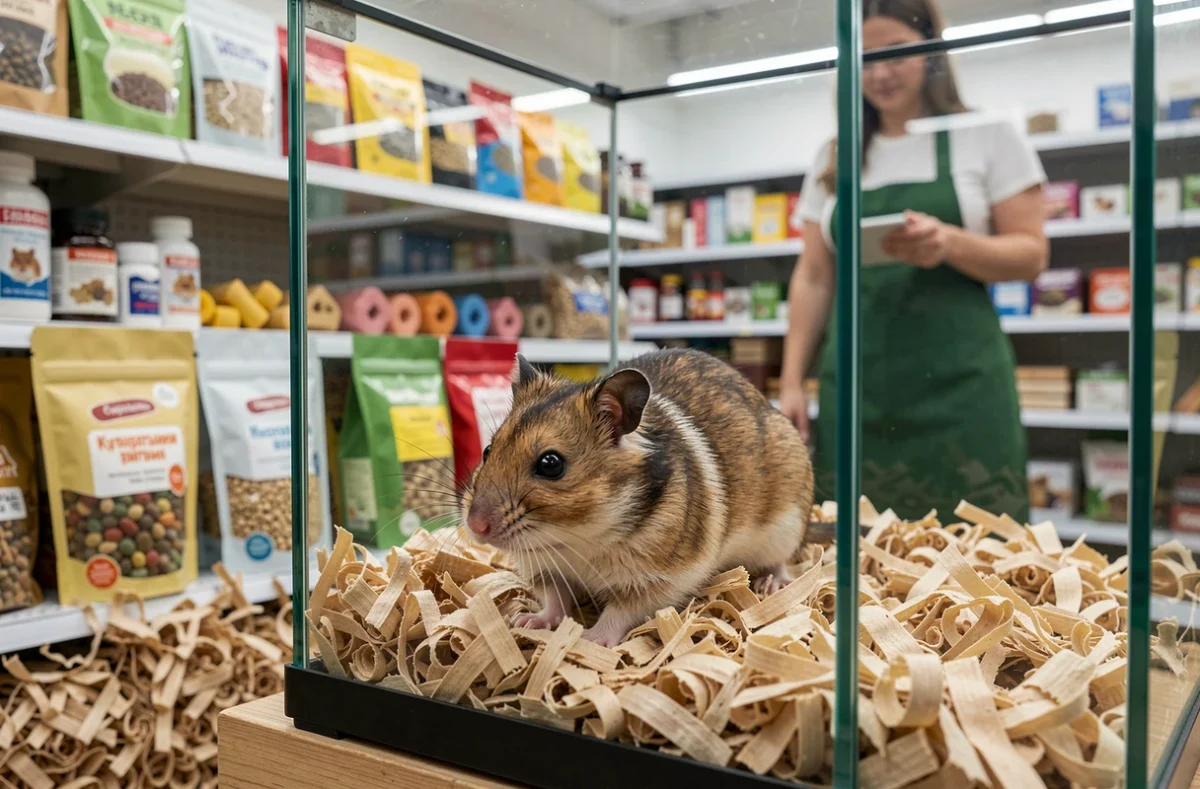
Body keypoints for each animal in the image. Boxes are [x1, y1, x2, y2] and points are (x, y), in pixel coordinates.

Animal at [460, 348, 814, 647]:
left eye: (551, 464)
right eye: (488, 450)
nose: (475, 526)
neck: (580, 538)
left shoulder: (663, 579)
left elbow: (620, 611)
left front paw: (591, 640)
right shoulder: (545, 567)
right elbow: (555, 598)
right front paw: (526, 621)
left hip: (786, 527)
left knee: (781, 561)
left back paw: (774, 585)